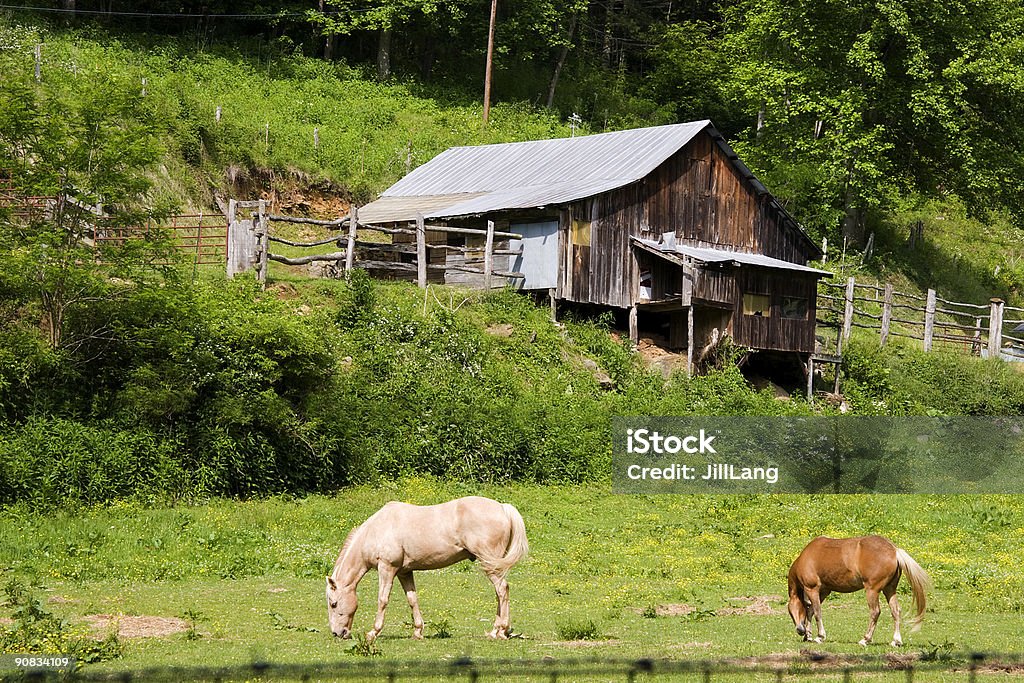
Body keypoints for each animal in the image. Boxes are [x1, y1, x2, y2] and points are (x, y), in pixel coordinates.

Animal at [323, 493, 528, 643]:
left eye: (334, 604)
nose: (337, 633)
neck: (376, 530)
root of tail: (502, 507)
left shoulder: (387, 568)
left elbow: (382, 600)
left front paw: (373, 632)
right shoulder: (404, 572)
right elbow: (412, 599)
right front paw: (418, 631)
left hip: (491, 564)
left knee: (502, 590)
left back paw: (499, 631)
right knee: (499, 593)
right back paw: (497, 630)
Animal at [786, 532, 933, 647]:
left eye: (792, 610)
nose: (800, 630)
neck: (807, 556)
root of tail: (894, 551)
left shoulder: (812, 589)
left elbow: (817, 612)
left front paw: (819, 636)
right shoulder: (824, 591)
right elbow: (810, 610)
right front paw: (809, 635)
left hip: (872, 590)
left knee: (875, 612)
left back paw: (865, 639)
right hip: (889, 589)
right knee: (895, 611)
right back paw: (896, 641)